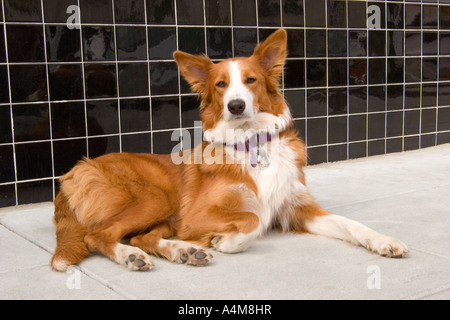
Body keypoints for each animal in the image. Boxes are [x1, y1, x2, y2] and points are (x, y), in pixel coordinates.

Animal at [51, 28, 410, 272]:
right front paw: (225, 240)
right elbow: (253, 218)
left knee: (141, 237)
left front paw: (385, 241)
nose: (235, 105)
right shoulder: (196, 215)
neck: (250, 142)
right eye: (221, 84)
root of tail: (74, 170)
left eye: (251, 80)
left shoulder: (299, 209)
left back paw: (182, 251)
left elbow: (351, 224)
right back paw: (133, 256)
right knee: (99, 236)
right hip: (157, 197)